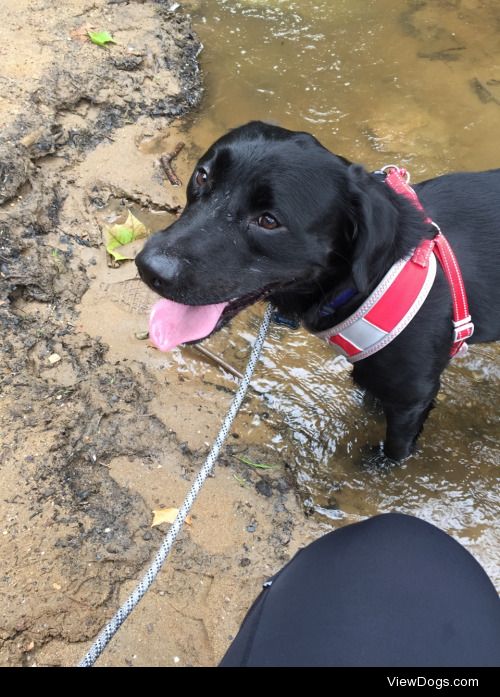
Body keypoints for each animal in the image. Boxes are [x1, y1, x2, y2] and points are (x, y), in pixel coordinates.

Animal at [137, 122, 500, 460]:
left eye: (269, 221)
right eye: (202, 176)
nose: (149, 268)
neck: (375, 278)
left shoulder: (412, 397)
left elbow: (396, 448)